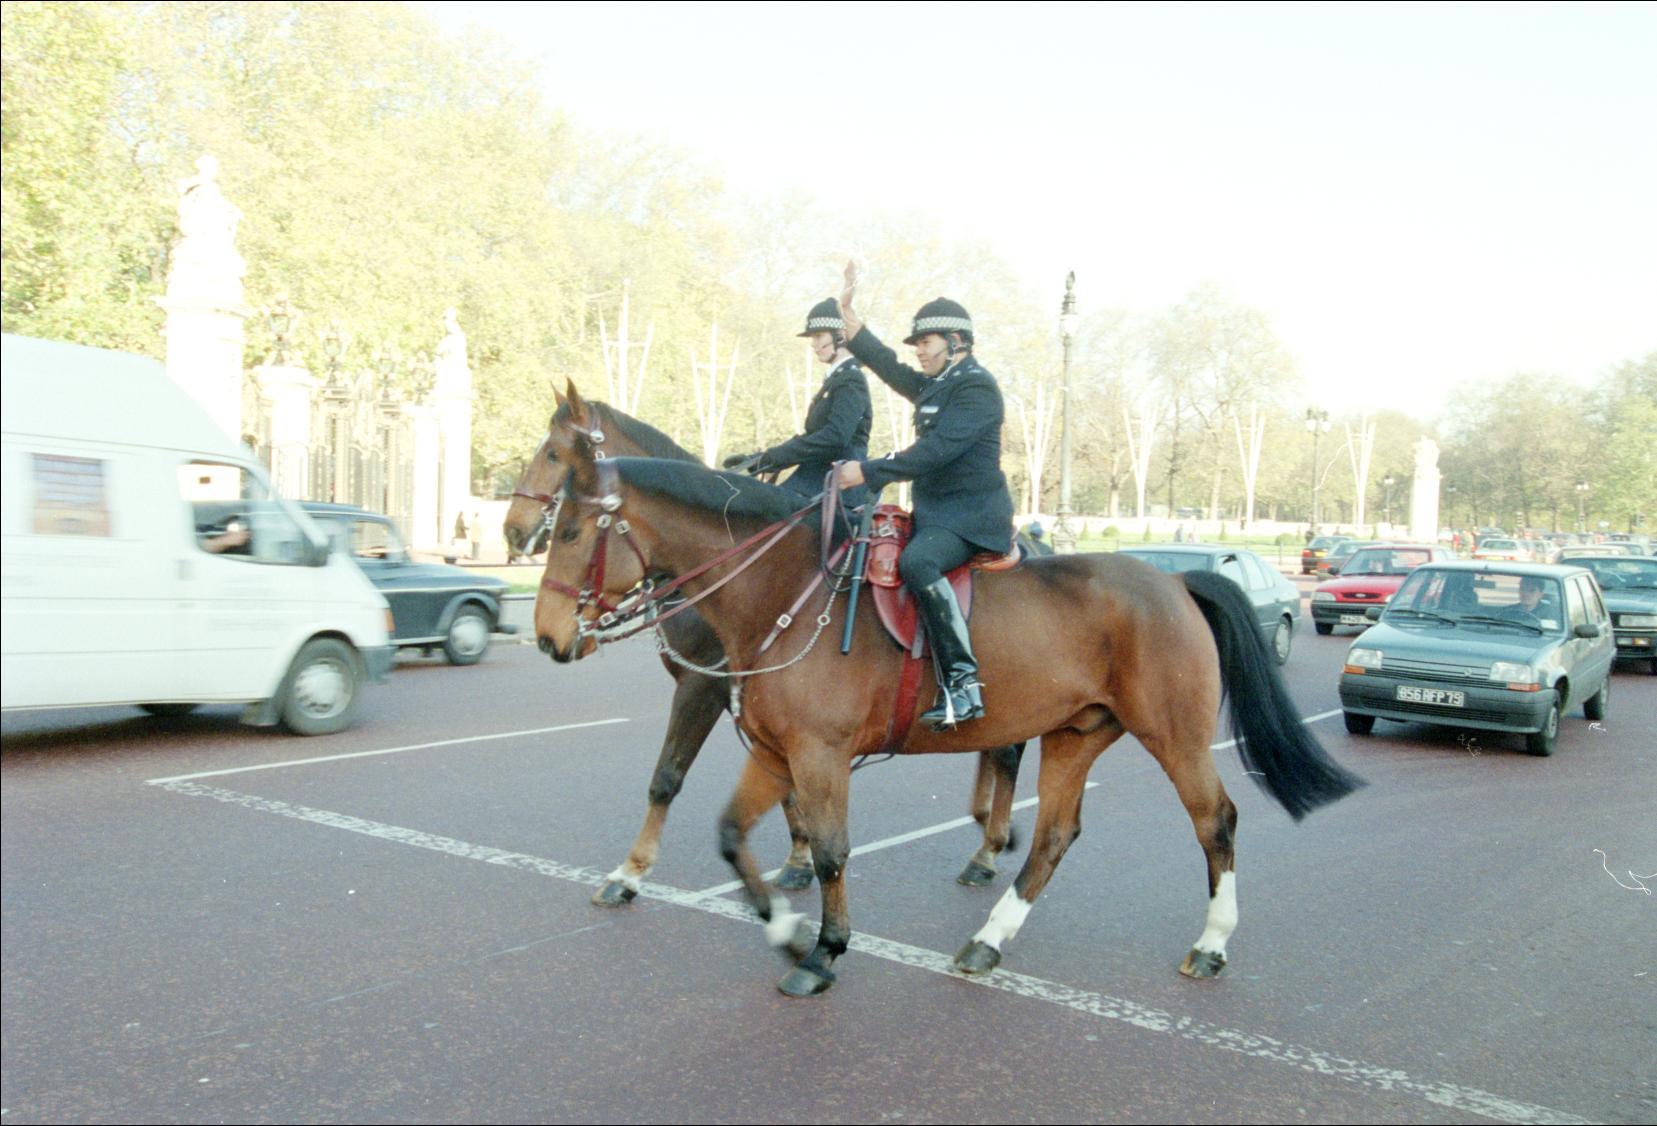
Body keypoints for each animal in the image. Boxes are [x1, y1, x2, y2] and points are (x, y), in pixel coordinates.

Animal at [502, 383, 1026, 904]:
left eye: (554, 454)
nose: (513, 529)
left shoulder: (704, 686)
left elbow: (667, 777)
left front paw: (629, 873)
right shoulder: (759, 702)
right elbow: (785, 783)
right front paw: (799, 857)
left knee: (1007, 752)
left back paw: (987, 850)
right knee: (996, 747)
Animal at [533, 440, 1363, 997]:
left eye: (570, 532)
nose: (544, 635)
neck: (784, 592)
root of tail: (1176, 581)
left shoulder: (819, 755)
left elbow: (830, 852)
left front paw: (824, 950)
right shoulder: (775, 752)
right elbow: (732, 835)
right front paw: (785, 929)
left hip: (1176, 734)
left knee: (1214, 821)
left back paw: (1212, 943)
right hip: (1074, 734)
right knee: (1054, 836)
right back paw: (987, 938)